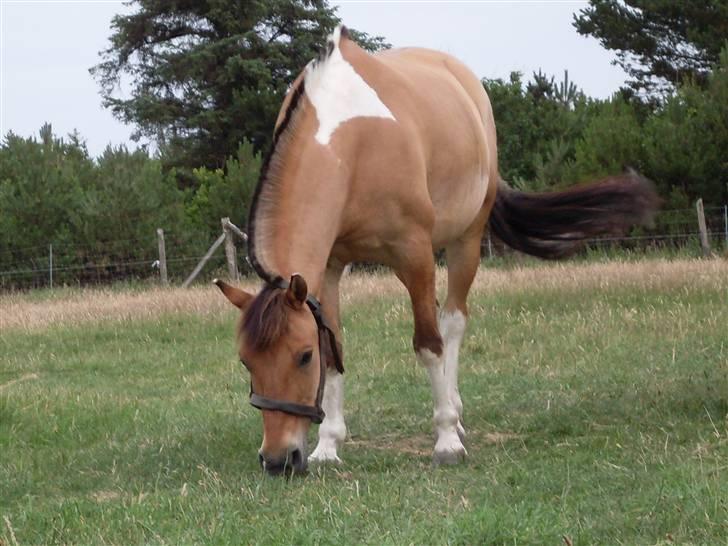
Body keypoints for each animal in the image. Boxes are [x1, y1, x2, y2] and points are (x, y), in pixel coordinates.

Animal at [212, 25, 660, 474]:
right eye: (246, 361)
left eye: (302, 357)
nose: (277, 459)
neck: (351, 142)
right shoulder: (330, 266)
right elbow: (335, 349)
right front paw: (328, 445)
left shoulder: (415, 255)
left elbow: (429, 344)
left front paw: (446, 440)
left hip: (466, 243)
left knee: (453, 322)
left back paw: (455, 416)